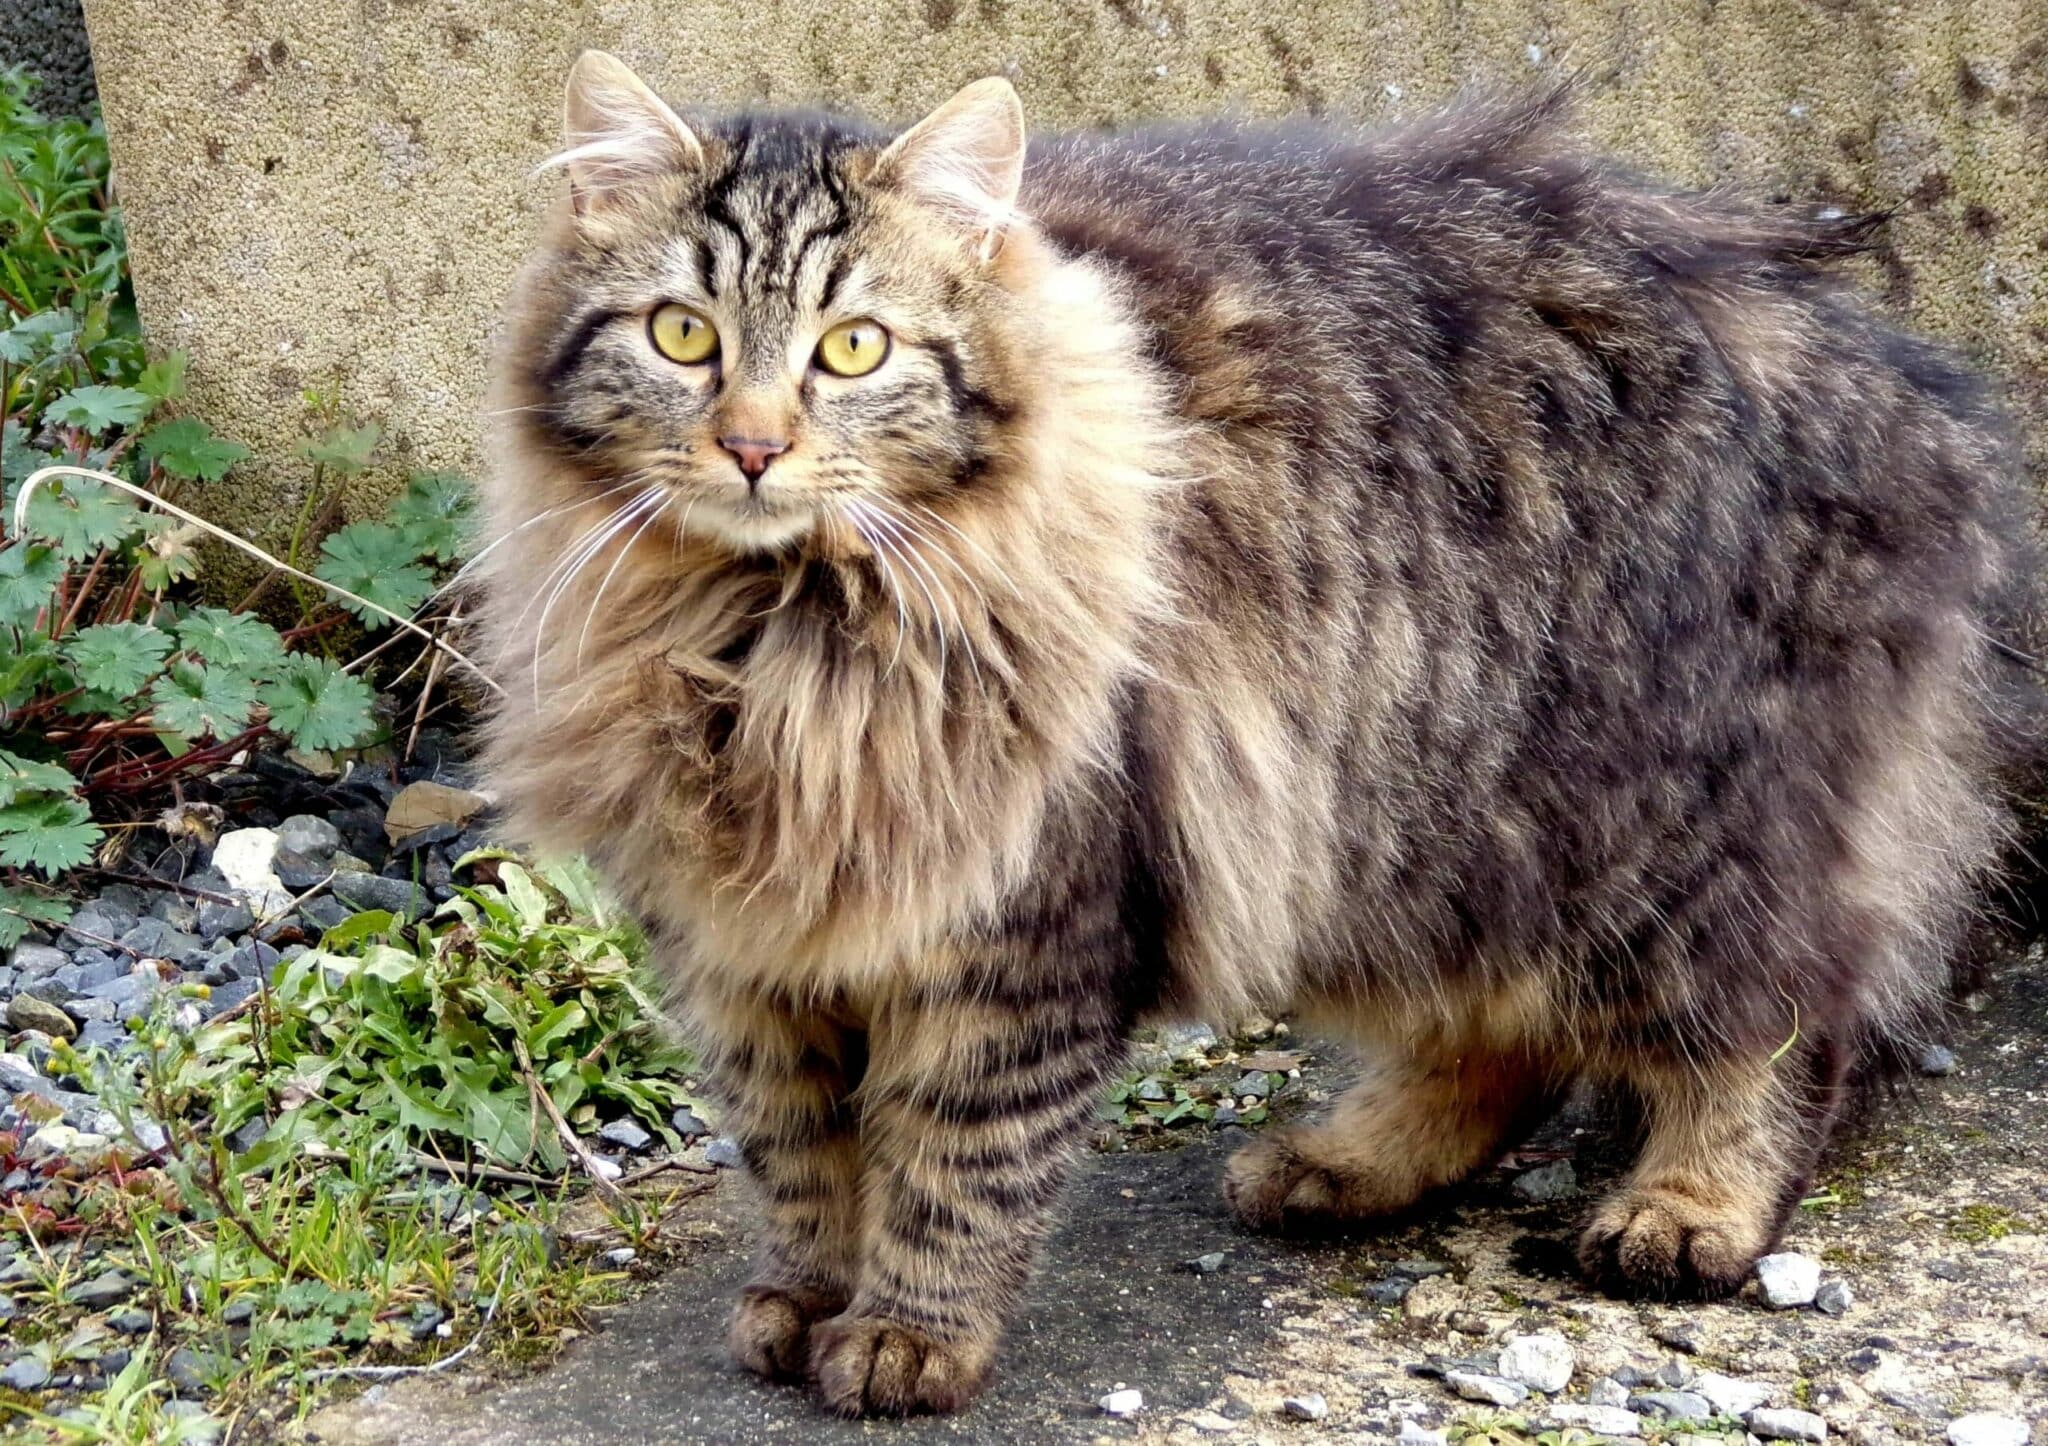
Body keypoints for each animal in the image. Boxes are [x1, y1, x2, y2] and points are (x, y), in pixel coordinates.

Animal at [475, 53, 2031, 1409]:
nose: (751, 445)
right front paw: (805, 1300)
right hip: (1426, 829)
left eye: (852, 349)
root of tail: (1895, 378)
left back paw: (1684, 1208)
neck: (774, 635)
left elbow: (953, 1158)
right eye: (684, 334)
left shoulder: (1024, 920)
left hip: (1657, 830)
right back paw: (1343, 1166)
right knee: (1504, 1040)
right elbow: (802, 1155)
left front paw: (912, 1336)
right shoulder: (742, 944)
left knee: (1779, 1027)